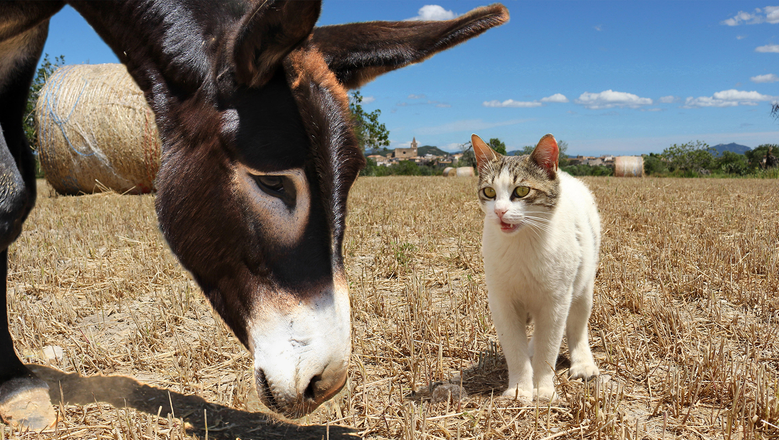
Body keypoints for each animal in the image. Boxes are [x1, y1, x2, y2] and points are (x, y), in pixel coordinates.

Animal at [472, 132, 600, 400]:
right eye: (489, 192)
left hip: (583, 287)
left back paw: (583, 362)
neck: (523, 244)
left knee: (577, 327)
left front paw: (543, 389)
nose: (500, 212)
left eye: (521, 191)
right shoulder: (502, 301)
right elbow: (514, 348)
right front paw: (520, 389)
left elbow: (548, 347)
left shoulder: (555, 303)